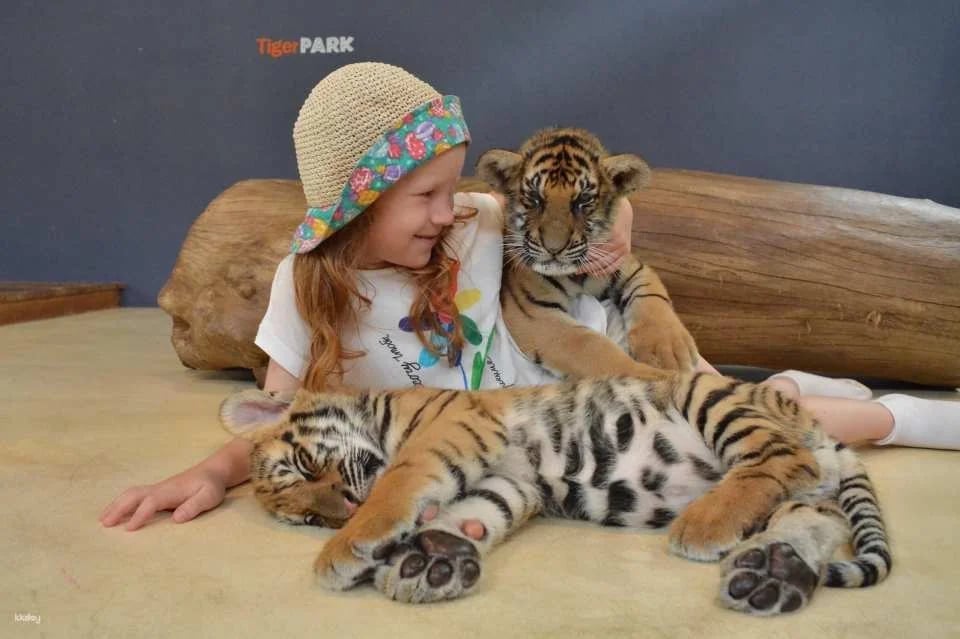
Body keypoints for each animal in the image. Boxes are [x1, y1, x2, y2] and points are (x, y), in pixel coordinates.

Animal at [221, 370, 891, 616]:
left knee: (782, 458)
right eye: (307, 517)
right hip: (804, 493)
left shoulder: (454, 426)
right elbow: (475, 511)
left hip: (708, 395)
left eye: (306, 465)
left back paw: (704, 526)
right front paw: (432, 557)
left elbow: (402, 479)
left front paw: (349, 550)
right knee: (817, 510)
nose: (343, 513)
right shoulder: (513, 480)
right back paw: (774, 574)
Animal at [476, 127, 697, 379]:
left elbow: (652, 296)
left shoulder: (628, 264)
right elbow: (592, 347)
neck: (578, 274)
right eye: (535, 198)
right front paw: (657, 378)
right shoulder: (534, 310)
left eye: (583, 200)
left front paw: (668, 352)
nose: (553, 248)